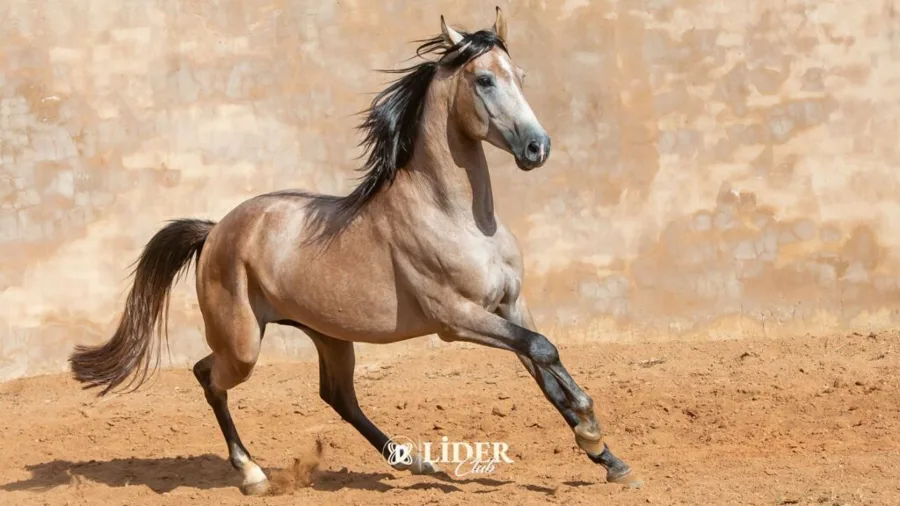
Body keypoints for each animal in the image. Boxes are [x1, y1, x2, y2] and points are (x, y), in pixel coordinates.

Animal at [69, 7, 640, 495]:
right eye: (484, 80)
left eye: (519, 74)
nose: (537, 148)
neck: (456, 217)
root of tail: (215, 232)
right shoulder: (456, 319)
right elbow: (544, 349)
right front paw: (592, 432)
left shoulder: (509, 306)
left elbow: (545, 364)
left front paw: (609, 459)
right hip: (243, 343)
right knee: (208, 377)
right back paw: (253, 474)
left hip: (329, 336)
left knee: (336, 395)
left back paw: (414, 461)